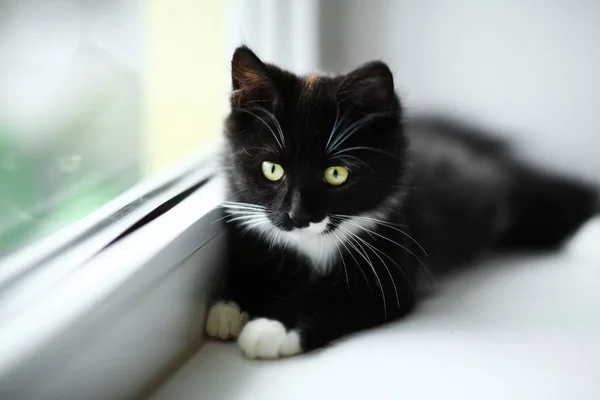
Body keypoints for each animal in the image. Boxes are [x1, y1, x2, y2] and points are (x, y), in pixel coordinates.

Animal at [205, 45, 596, 358]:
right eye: (272, 169)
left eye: (336, 174)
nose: (297, 215)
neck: (312, 243)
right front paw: (229, 306)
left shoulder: (390, 257)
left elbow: (330, 296)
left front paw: (269, 327)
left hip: (491, 179)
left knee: (530, 191)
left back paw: (589, 234)